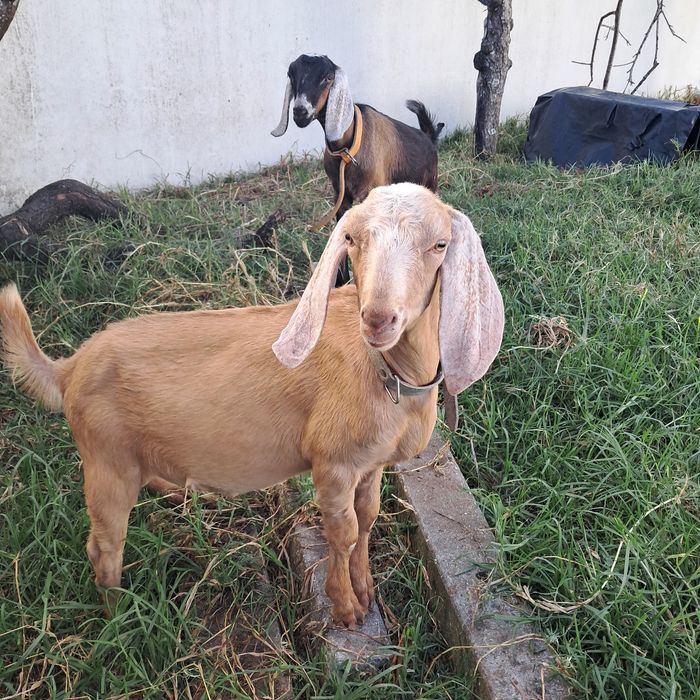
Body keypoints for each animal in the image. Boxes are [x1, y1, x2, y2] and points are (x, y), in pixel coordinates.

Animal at [0, 184, 503, 628]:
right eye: (352, 239)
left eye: (440, 244)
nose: (379, 319)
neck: (385, 371)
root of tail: (70, 368)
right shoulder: (333, 462)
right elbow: (341, 533)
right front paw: (346, 610)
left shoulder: (371, 464)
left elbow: (367, 520)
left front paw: (366, 592)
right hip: (106, 460)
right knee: (102, 547)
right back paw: (119, 616)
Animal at [271, 55, 444, 244]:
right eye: (291, 74)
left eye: (329, 77)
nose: (300, 112)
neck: (347, 151)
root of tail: (428, 137)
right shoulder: (340, 195)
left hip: (430, 184)